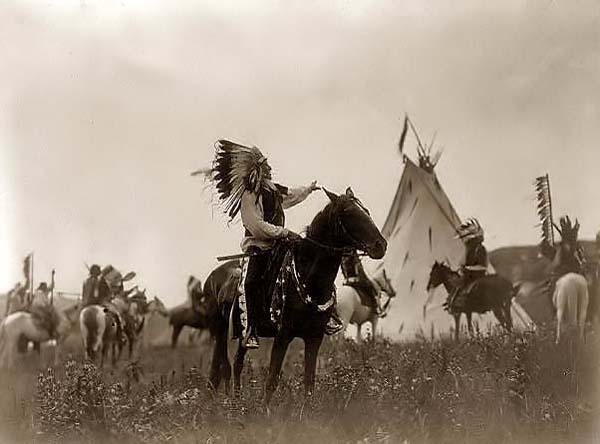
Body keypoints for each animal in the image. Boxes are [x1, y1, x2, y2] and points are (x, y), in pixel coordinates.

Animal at [204, 188, 386, 406]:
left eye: (366, 210)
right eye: (349, 212)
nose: (381, 245)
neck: (308, 277)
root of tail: (213, 277)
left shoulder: (314, 337)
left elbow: (309, 383)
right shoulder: (283, 335)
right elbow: (272, 379)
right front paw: (264, 410)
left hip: (240, 337)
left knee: (234, 365)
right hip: (221, 332)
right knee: (225, 367)